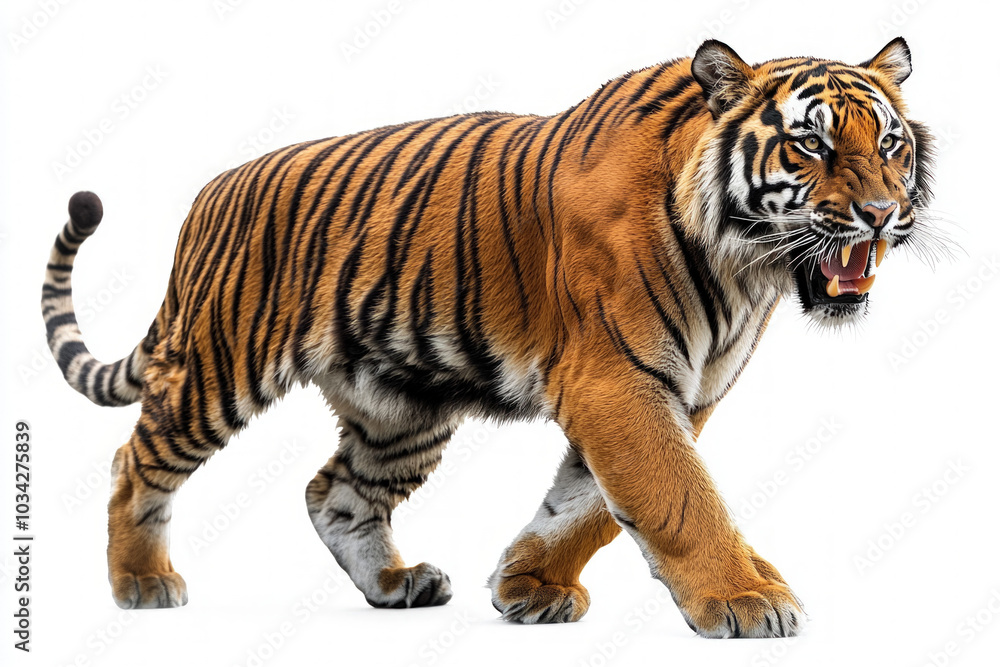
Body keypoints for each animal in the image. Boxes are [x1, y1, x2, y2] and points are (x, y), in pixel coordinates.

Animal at [41, 37, 935, 638]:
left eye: (890, 143)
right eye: (812, 142)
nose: (883, 213)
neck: (745, 267)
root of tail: (210, 191)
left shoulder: (677, 389)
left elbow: (589, 504)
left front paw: (527, 584)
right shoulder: (620, 380)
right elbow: (677, 495)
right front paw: (746, 598)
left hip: (401, 405)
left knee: (334, 492)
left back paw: (396, 583)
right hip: (218, 366)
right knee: (134, 462)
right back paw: (142, 582)